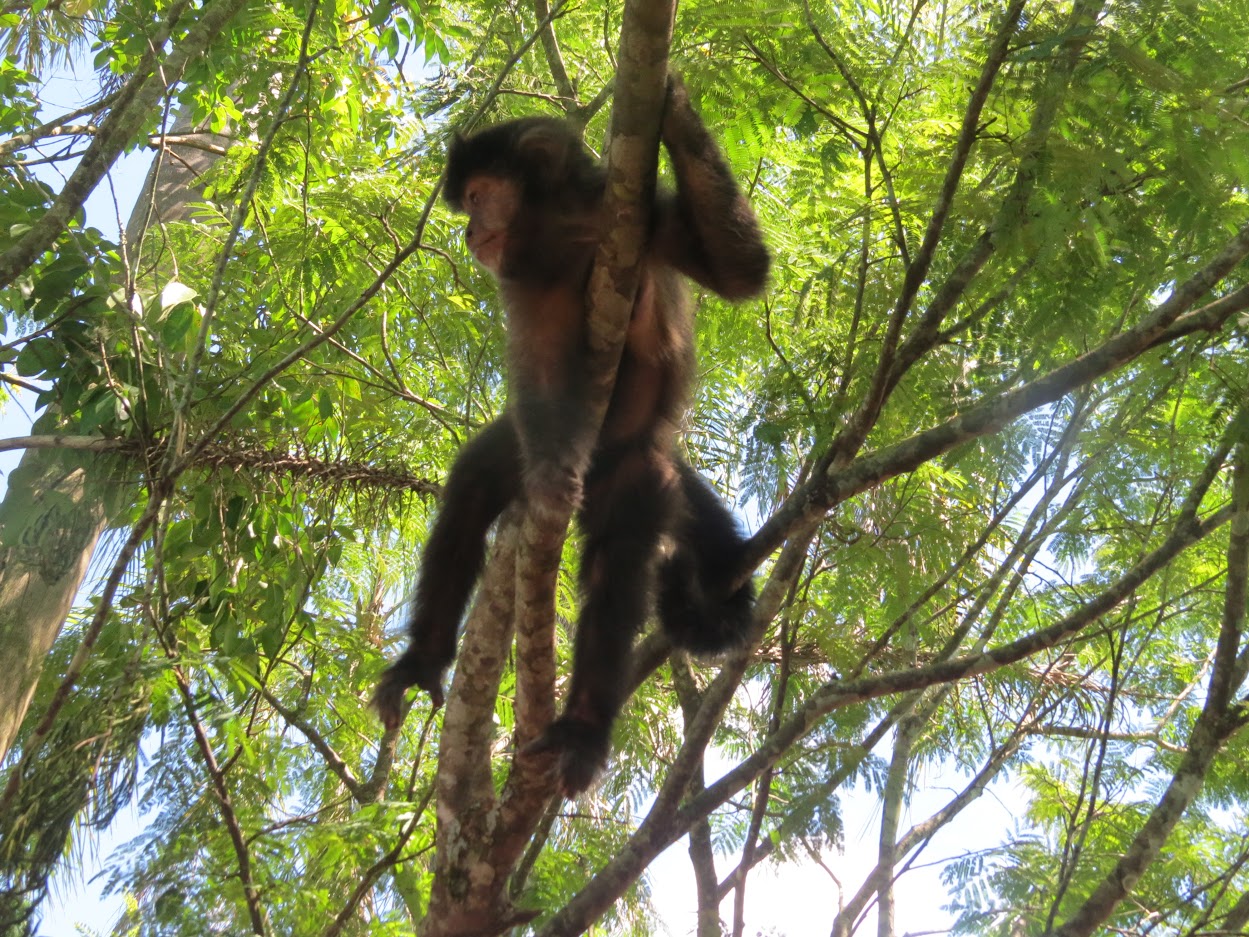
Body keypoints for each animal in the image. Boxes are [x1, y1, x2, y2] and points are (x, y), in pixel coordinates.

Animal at [369, 77, 764, 799]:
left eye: (477, 196)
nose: (469, 232)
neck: (573, 232)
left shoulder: (647, 218)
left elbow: (742, 272)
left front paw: (673, 109)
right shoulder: (522, 272)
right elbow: (541, 376)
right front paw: (552, 482)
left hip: (636, 466)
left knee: (618, 554)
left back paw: (582, 726)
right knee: (478, 480)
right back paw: (423, 660)